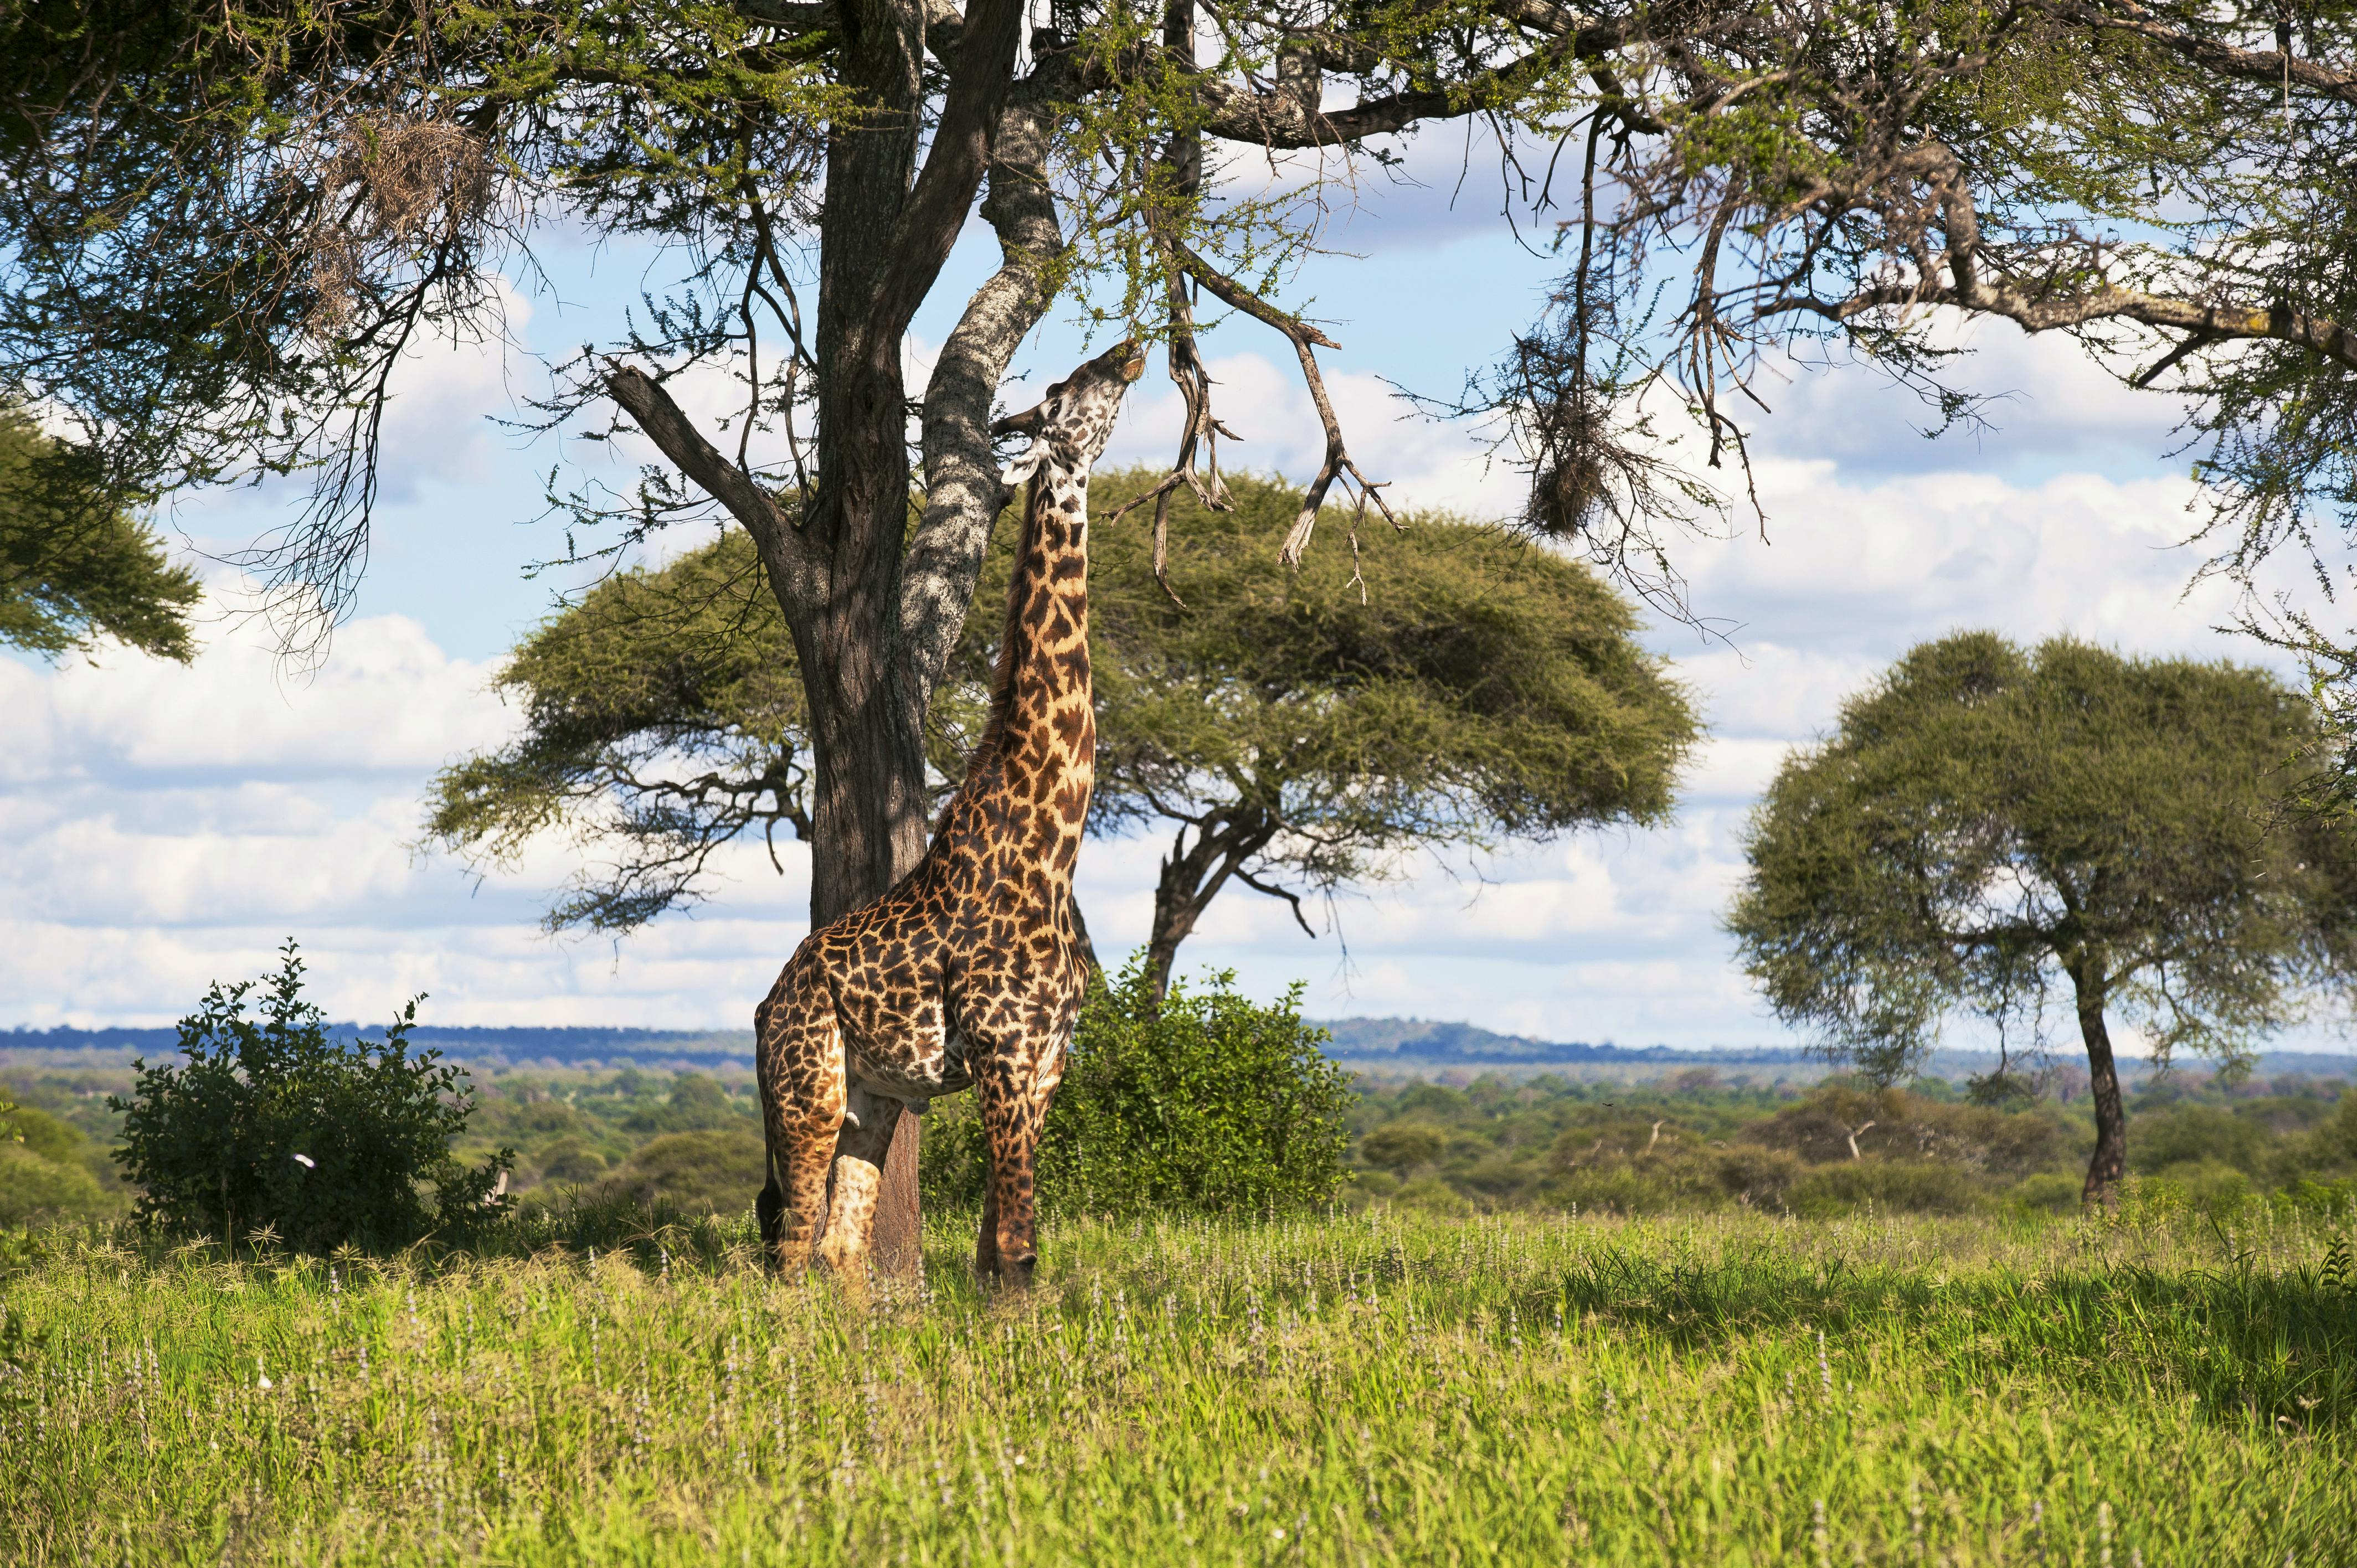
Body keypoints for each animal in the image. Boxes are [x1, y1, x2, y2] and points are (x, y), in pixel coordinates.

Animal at [752, 338, 1146, 1285]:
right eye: (1063, 389)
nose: (1129, 350)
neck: (1052, 846)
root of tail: (764, 1007)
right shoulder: (1003, 1052)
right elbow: (1017, 1251)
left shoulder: (1047, 1062)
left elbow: (1000, 1253)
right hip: (807, 1092)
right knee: (788, 1253)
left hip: (876, 1097)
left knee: (840, 1248)